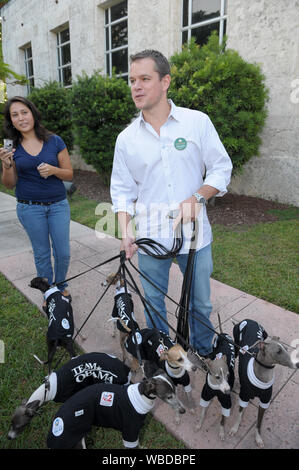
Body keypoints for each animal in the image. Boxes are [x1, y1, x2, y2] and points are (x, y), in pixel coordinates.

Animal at [231, 320, 298, 448]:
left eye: (286, 348)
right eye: (278, 351)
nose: (297, 364)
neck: (262, 378)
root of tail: (247, 320)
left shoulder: (265, 401)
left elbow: (259, 423)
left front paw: (258, 439)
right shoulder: (244, 395)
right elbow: (240, 414)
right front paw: (235, 428)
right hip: (236, 346)